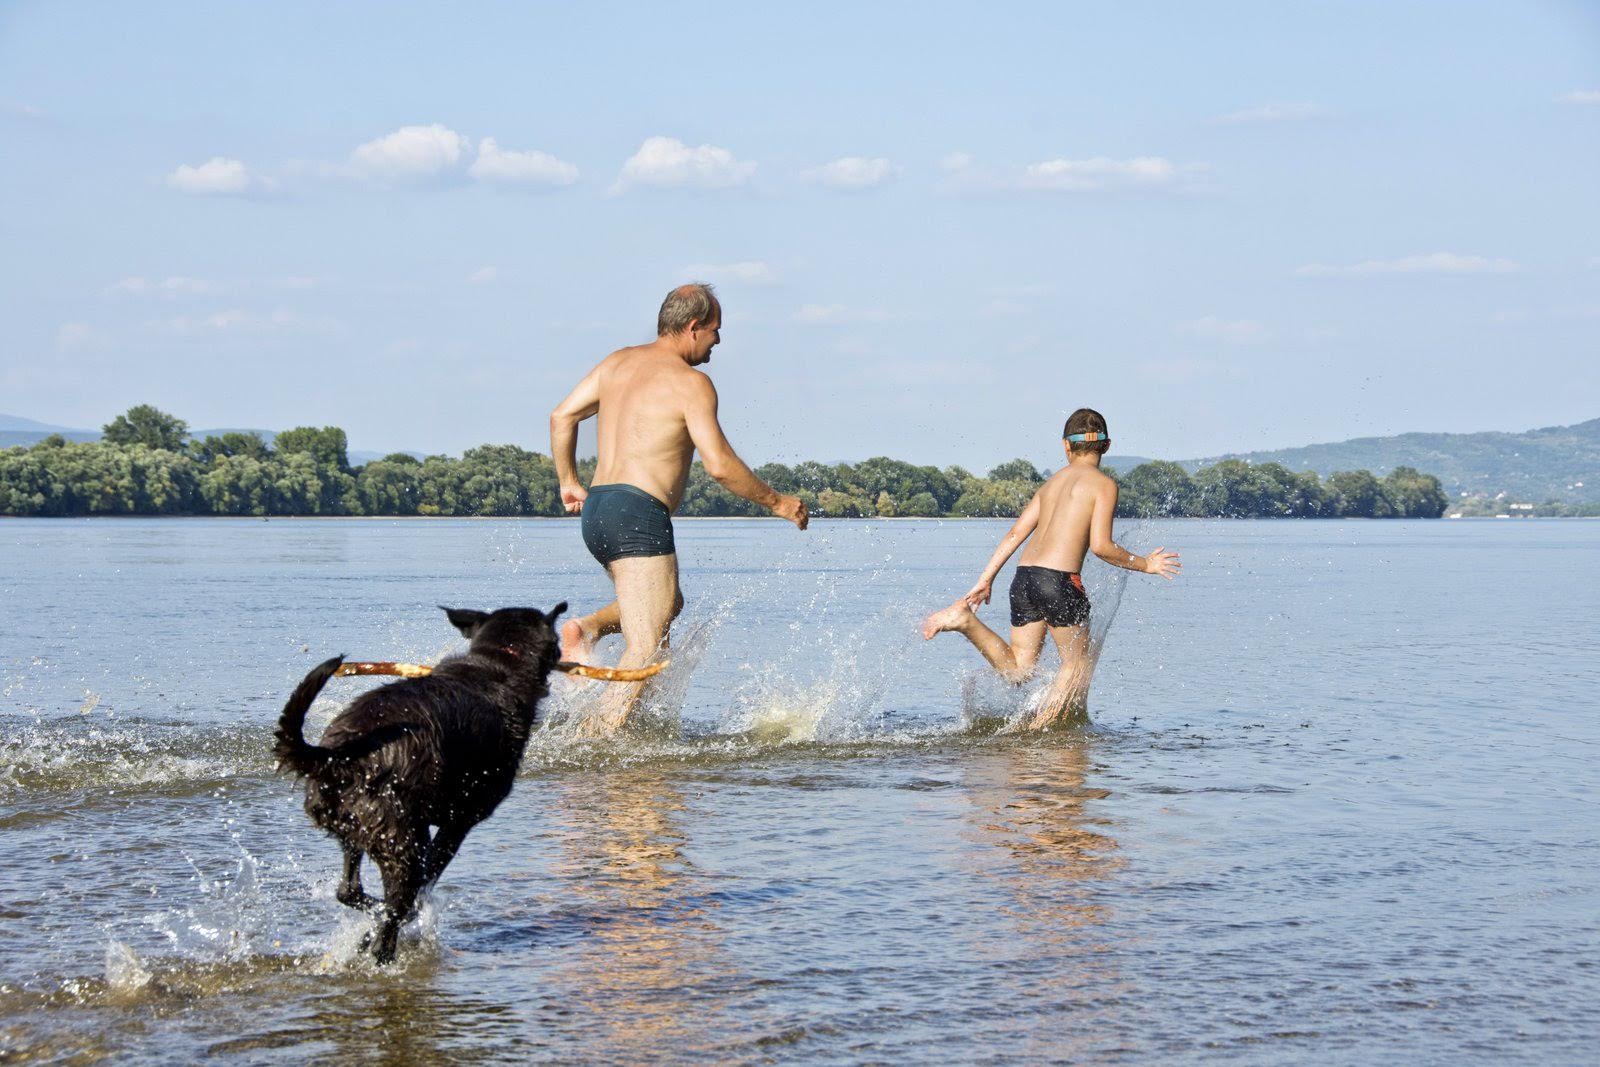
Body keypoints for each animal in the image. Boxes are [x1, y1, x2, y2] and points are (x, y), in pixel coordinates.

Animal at [276, 604, 569, 966]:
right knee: (392, 918)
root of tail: (338, 755)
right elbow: (431, 874)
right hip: (402, 843)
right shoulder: (460, 821)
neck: (495, 662)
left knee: (350, 891)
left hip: (352, 830)